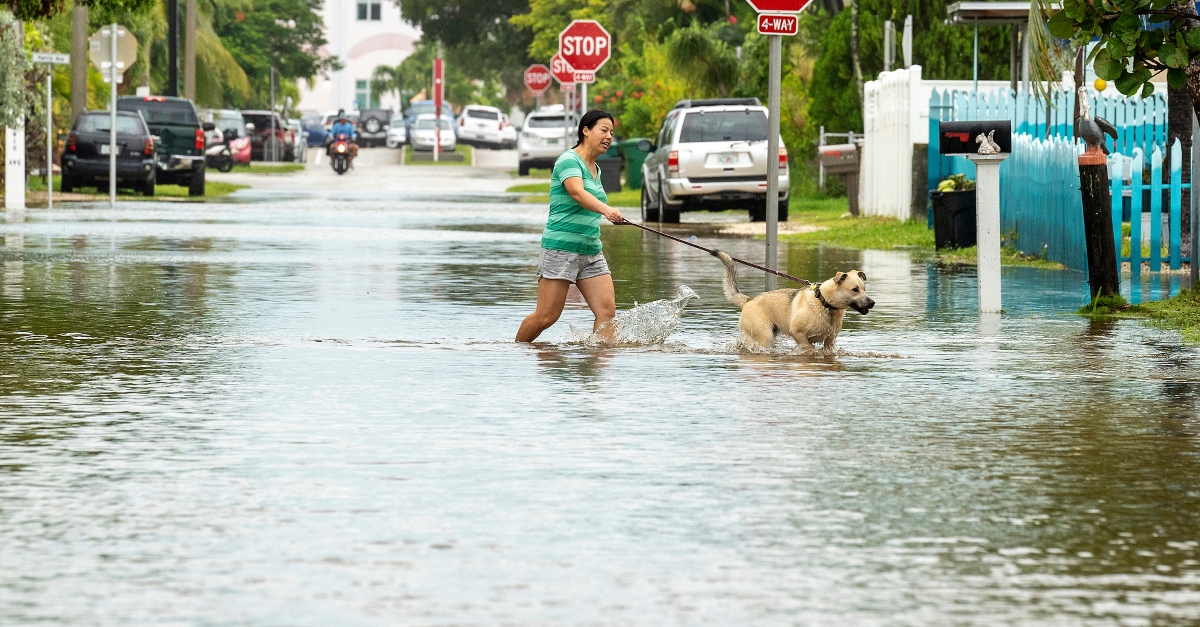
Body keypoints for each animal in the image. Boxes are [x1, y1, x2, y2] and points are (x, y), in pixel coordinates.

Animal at [710, 248, 873, 348]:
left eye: (864, 289)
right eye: (855, 289)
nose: (872, 303)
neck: (824, 303)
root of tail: (749, 300)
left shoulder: (830, 341)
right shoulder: (799, 334)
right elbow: (808, 350)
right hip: (765, 337)